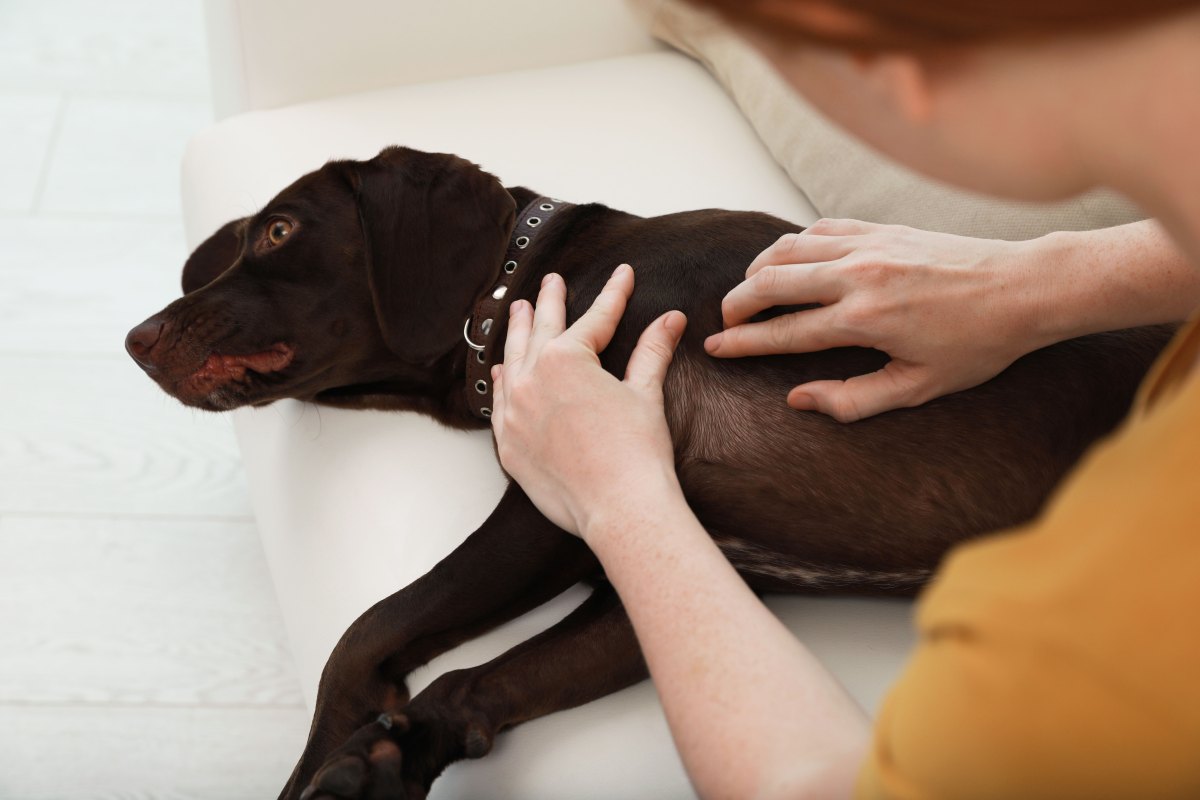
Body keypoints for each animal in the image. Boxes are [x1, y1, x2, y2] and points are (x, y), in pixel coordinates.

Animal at [129, 146, 1171, 796]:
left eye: (278, 233)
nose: (135, 339)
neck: (522, 287)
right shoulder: (668, 573)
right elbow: (468, 685)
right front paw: (384, 763)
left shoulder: (553, 500)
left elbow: (366, 630)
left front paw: (324, 762)